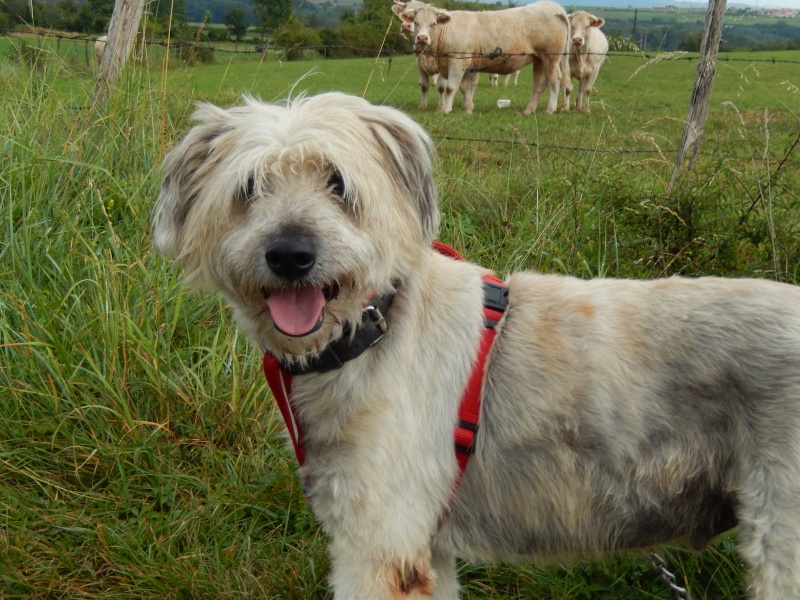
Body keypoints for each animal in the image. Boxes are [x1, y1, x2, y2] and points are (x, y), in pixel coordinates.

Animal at [152, 90, 800, 600]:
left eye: (339, 184)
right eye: (249, 187)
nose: (291, 255)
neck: (375, 328)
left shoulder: (381, 549)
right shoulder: (423, 549)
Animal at [392, 0, 568, 114]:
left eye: (433, 24)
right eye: (415, 22)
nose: (422, 38)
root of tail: (553, 6)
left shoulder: (457, 61)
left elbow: (450, 87)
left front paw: (446, 109)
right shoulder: (465, 65)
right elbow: (464, 88)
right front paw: (468, 109)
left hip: (551, 58)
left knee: (554, 81)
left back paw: (550, 109)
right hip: (539, 59)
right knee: (539, 84)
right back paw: (529, 110)